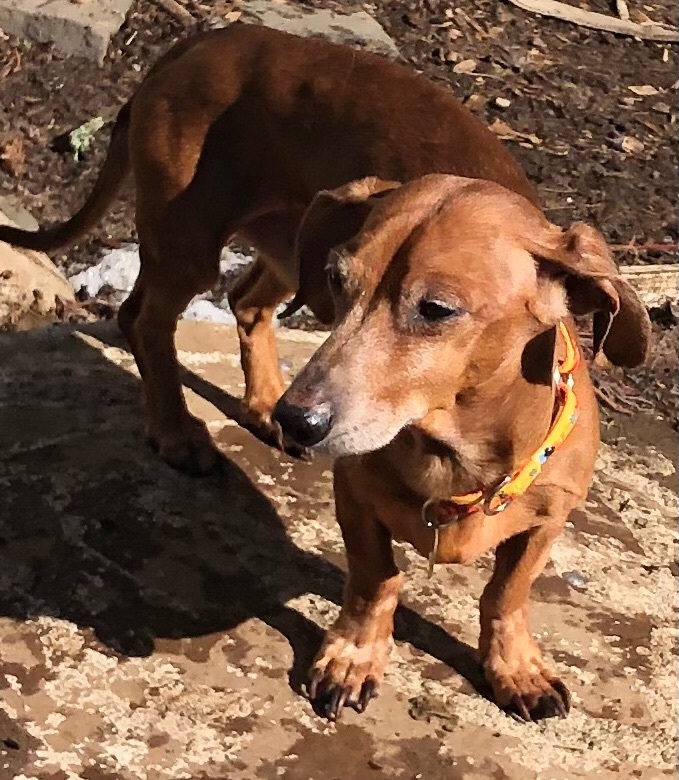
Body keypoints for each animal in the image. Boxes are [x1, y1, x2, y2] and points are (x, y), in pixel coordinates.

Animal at [0, 22, 652, 720]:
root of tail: (209, 36)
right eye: (343, 281)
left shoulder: (548, 519)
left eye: (436, 309)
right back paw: (180, 431)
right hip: (198, 242)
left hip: (286, 250)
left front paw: (515, 668)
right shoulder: (355, 495)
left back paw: (260, 404)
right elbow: (376, 578)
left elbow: (506, 595)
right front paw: (353, 658)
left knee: (245, 302)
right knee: (143, 320)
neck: (458, 453)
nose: (300, 420)